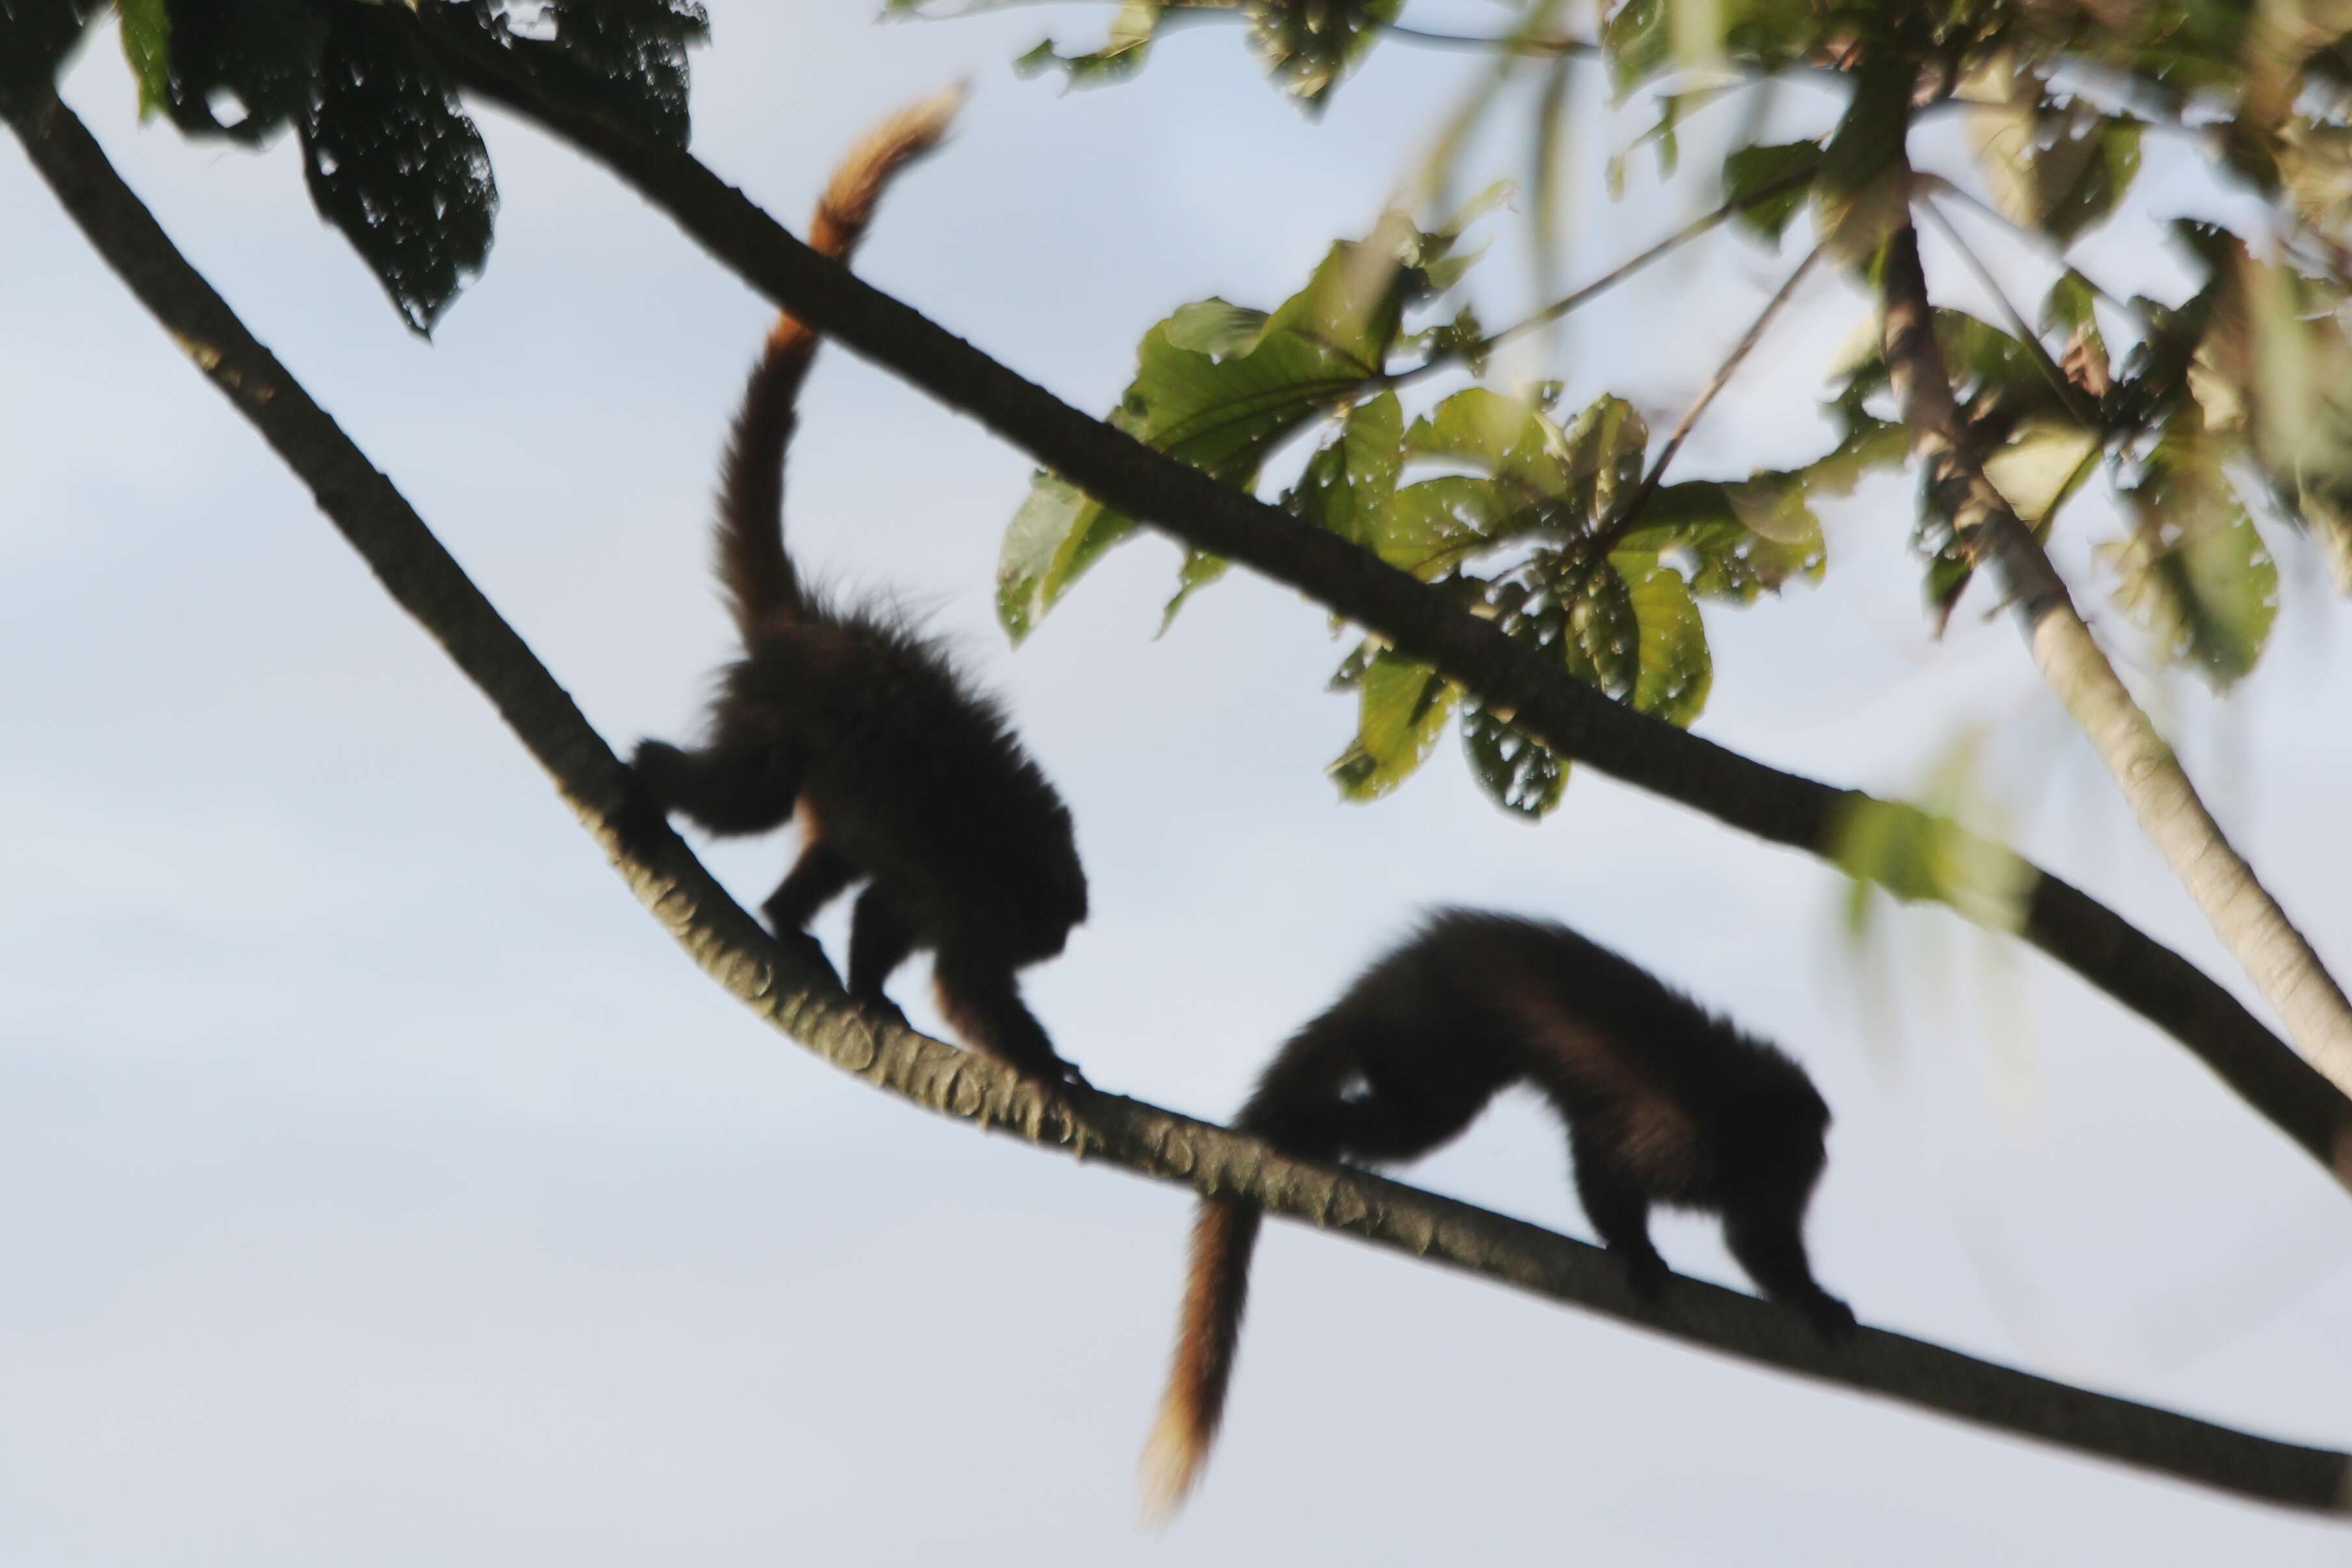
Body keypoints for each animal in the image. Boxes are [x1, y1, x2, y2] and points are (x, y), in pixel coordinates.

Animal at [616, 85, 1091, 1090]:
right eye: (1038, 930)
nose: (1056, 946)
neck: (1015, 848)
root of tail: (800, 631)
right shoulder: (972, 894)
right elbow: (959, 980)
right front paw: (1051, 1069)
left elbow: (881, 908)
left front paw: (870, 982)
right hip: (773, 714)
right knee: (749, 797)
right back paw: (649, 778)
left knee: (828, 846)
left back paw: (787, 920)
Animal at [1138, 907, 1853, 1523]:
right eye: (1799, 1146)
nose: (1818, 1158)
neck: (1742, 1117)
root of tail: (1409, 960)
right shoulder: (1686, 1140)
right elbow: (1602, 1157)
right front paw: (1635, 1251)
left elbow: (1756, 1241)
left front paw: (1813, 1299)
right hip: (1431, 1022)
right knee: (1423, 1116)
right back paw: (1291, 1124)